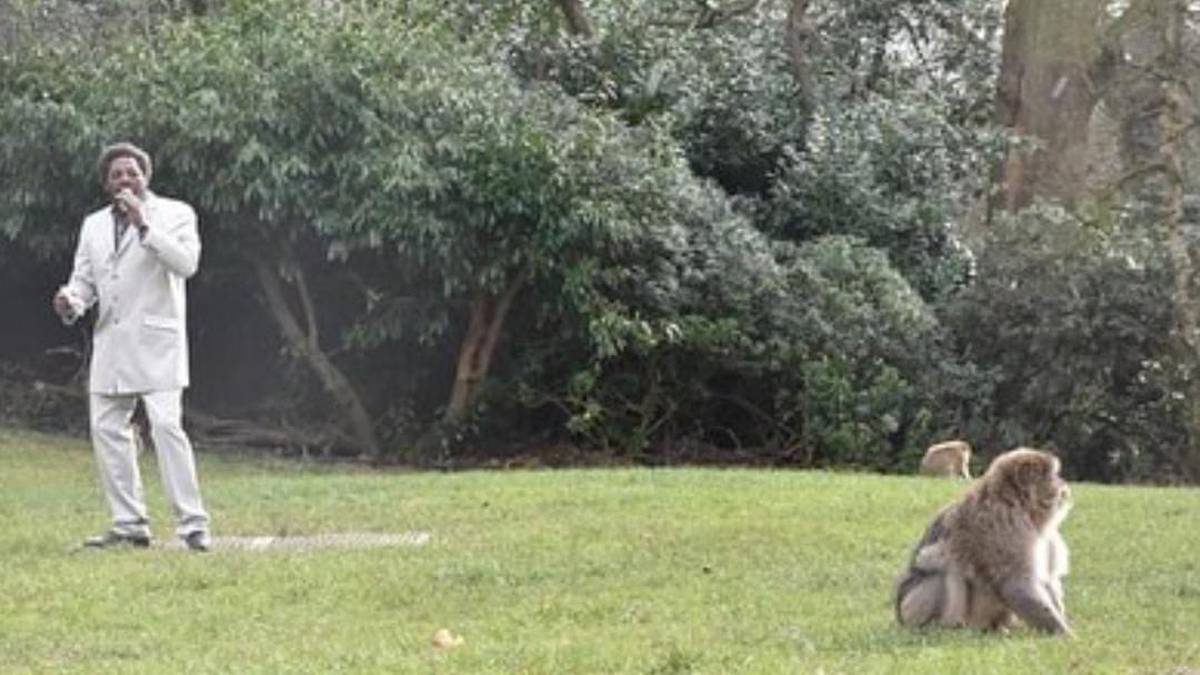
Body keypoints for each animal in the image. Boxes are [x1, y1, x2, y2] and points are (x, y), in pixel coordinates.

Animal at [895, 448, 1073, 636]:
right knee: (941, 568)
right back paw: (942, 627)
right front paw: (1067, 635)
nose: (1065, 485)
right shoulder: (1005, 527)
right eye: (1054, 475)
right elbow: (1015, 583)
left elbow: (1048, 579)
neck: (1020, 507)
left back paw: (999, 628)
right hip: (911, 608)